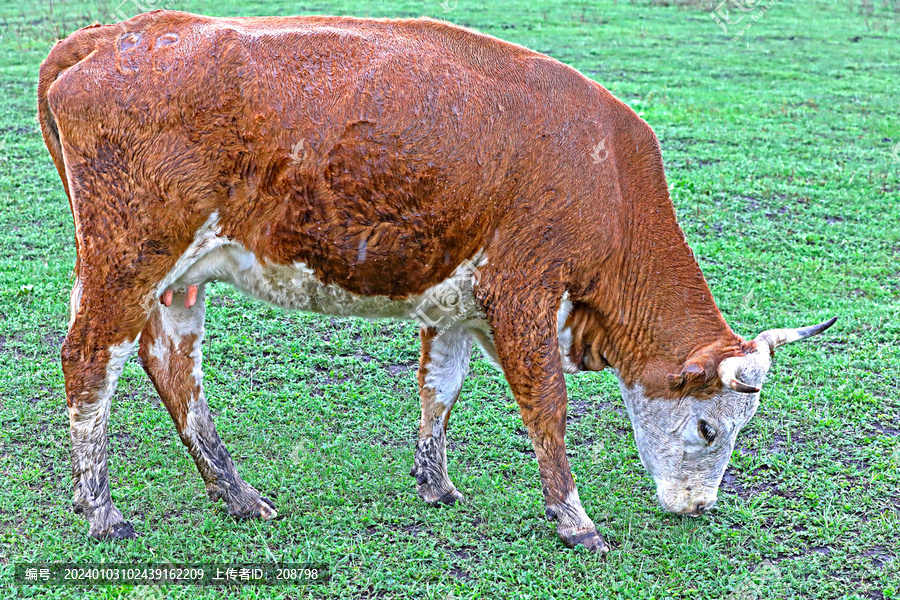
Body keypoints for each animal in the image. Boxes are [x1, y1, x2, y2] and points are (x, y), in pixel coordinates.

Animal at [37, 10, 836, 552]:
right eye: (707, 427)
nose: (697, 508)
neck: (605, 169)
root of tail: (116, 34)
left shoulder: (457, 303)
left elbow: (439, 387)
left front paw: (435, 483)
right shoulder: (522, 291)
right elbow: (548, 406)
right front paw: (574, 520)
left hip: (176, 278)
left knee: (172, 364)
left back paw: (237, 495)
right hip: (127, 258)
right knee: (90, 360)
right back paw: (102, 510)